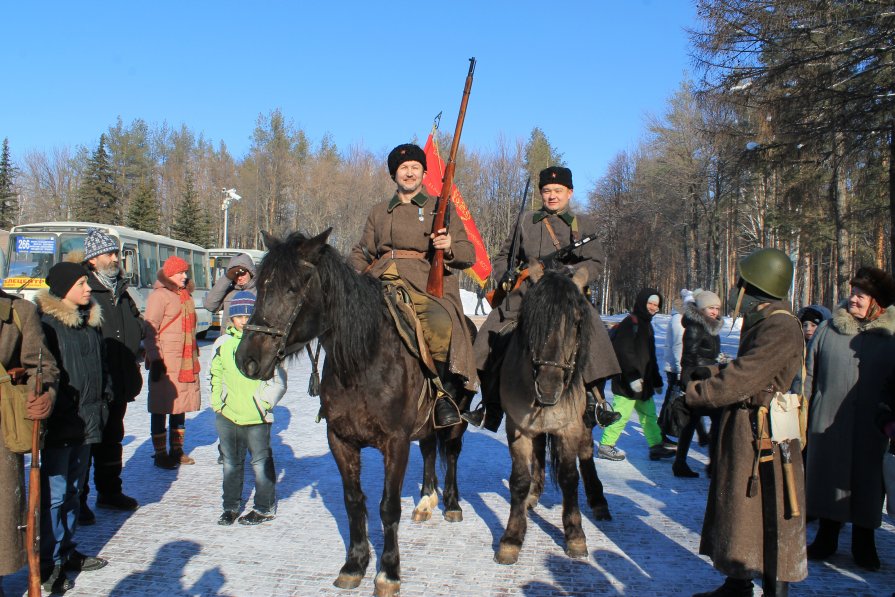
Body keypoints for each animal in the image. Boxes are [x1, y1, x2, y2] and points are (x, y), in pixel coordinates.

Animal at [234, 229, 472, 596]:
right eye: (261, 287)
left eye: (293, 288)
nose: (247, 359)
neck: (362, 362)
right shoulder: (340, 439)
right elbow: (353, 501)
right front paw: (355, 563)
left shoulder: (395, 443)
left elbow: (388, 507)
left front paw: (388, 572)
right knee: (430, 449)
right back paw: (425, 501)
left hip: (457, 420)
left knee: (452, 454)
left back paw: (452, 503)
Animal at [494, 264, 612, 564]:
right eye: (531, 319)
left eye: (577, 321)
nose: (548, 387)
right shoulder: (518, 427)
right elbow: (519, 480)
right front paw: (512, 538)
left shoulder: (569, 428)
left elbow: (570, 478)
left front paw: (575, 536)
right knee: (538, 453)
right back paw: (533, 495)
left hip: (584, 423)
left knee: (587, 452)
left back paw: (598, 501)